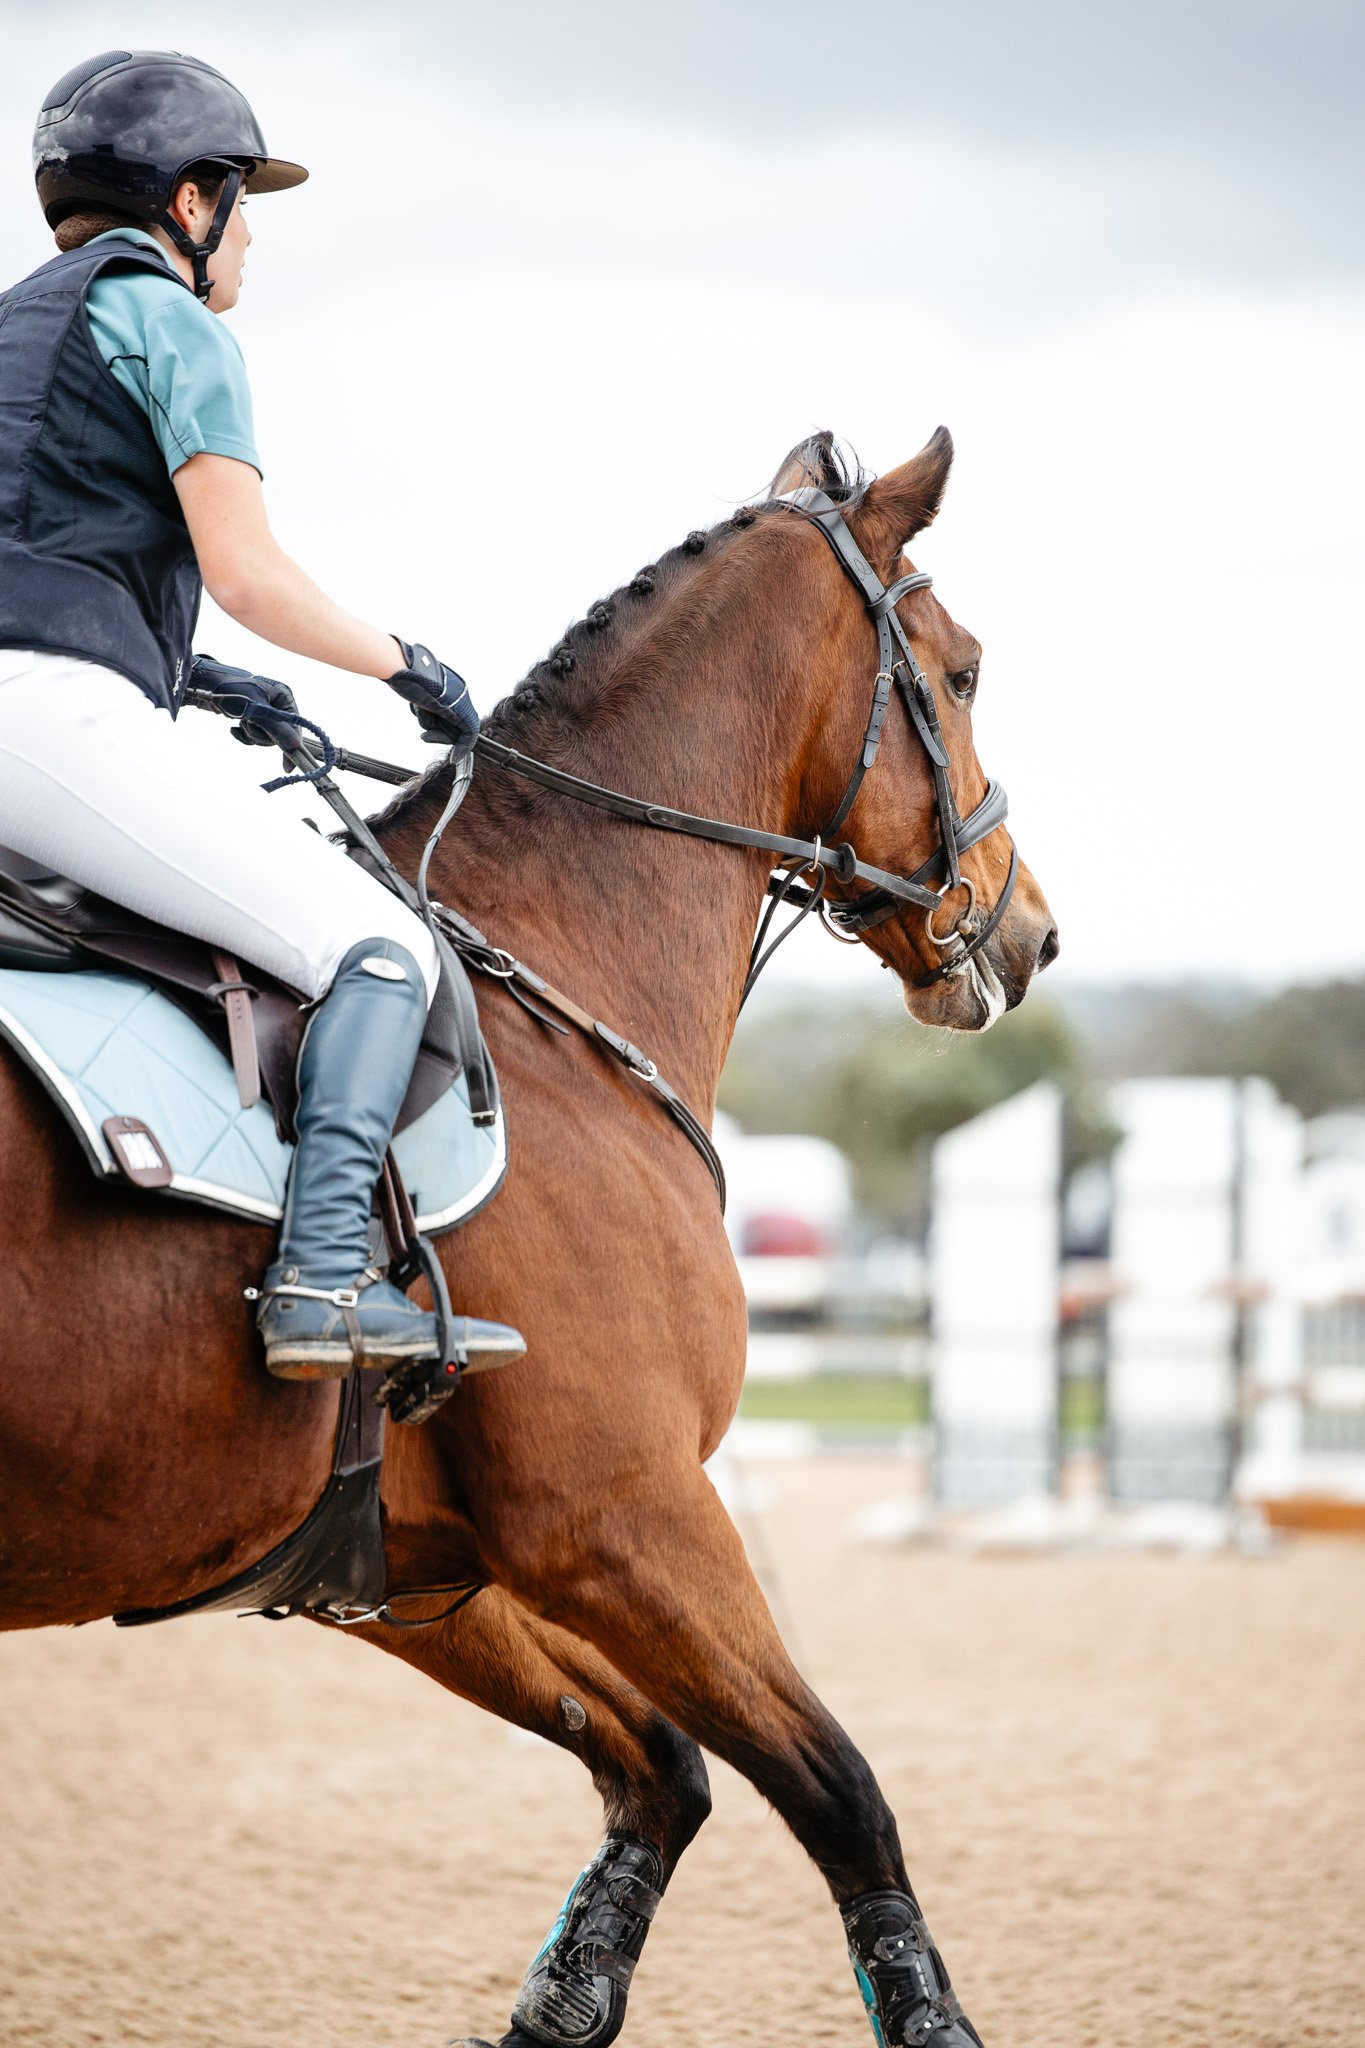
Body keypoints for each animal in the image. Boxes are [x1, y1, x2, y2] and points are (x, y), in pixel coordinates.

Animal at [0, 427, 1057, 2046]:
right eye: (962, 672)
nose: (1029, 931)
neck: (555, 988)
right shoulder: (622, 1513)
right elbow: (837, 1788)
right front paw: (930, 2017)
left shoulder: (404, 1565)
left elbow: (657, 1766)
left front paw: (563, 1998)